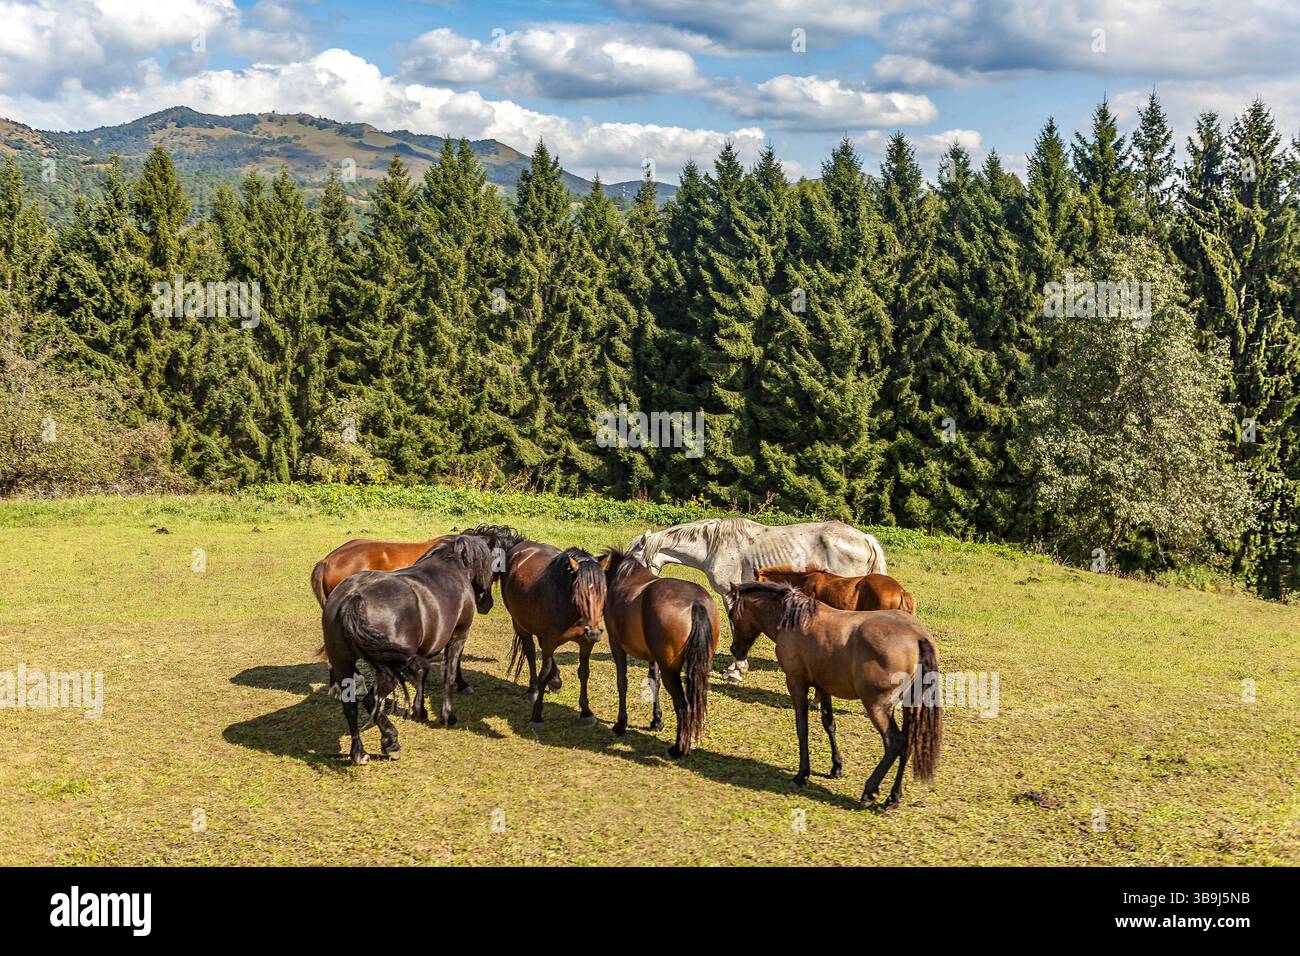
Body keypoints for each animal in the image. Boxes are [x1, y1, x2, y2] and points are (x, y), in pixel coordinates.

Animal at [320, 533, 495, 765]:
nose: (486, 603)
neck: (452, 565)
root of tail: (354, 597)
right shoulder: (457, 638)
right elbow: (448, 674)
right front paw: (447, 716)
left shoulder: (420, 652)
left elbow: (422, 675)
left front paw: (420, 710)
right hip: (388, 669)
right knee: (371, 700)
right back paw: (390, 742)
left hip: (343, 663)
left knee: (350, 705)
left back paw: (360, 752)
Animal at [503, 541, 609, 729]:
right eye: (579, 593)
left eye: (603, 592)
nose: (594, 633)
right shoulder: (550, 642)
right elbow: (543, 674)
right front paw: (536, 716)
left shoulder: (586, 643)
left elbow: (584, 672)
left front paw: (586, 712)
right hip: (520, 624)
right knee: (530, 652)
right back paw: (533, 689)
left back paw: (555, 680)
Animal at [599, 548, 719, 758]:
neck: (621, 577)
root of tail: (696, 604)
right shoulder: (653, 657)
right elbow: (653, 681)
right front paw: (657, 721)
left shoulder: (617, 645)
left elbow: (622, 682)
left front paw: (621, 724)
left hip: (670, 671)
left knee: (683, 705)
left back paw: (678, 748)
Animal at [627, 517, 888, 681]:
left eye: (632, 560)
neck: (714, 546)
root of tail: (865, 538)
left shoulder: (729, 595)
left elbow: (736, 630)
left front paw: (736, 670)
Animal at [725, 581, 941, 807]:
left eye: (731, 614)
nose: (735, 650)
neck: (795, 620)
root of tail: (918, 638)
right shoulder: (823, 687)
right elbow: (829, 724)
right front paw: (836, 767)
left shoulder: (796, 683)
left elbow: (802, 728)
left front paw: (803, 774)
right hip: (910, 706)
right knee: (907, 742)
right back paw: (893, 796)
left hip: (877, 706)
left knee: (894, 742)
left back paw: (869, 790)